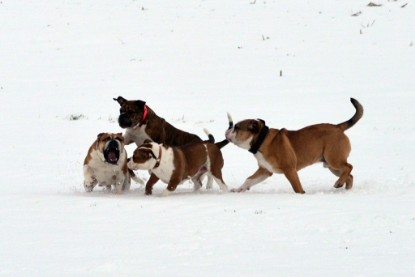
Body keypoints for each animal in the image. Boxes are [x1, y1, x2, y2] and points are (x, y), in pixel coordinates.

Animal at [226, 98, 366, 193]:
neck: (262, 140)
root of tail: (338, 127)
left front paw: (301, 194)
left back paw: (339, 183)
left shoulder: (290, 170)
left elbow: (297, 187)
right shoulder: (265, 170)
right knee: (349, 175)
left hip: (334, 159)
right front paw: (238, 189)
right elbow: (249, 179)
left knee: (349, 167)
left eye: (237, 127)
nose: (227, 130)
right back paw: (344, 188)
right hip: (331, 165)